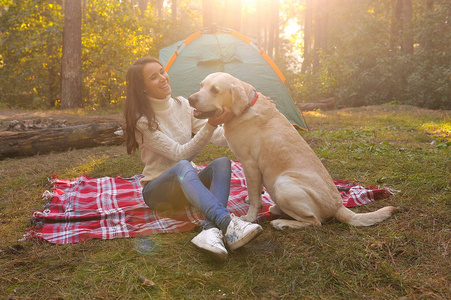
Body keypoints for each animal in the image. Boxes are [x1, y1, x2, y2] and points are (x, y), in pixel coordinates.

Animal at [189, 73, 398, 230]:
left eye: (215, 90)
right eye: (201, 85)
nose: (191, 98)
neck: (245, 108)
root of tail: (339, 205)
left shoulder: (249, 164)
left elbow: (255, 197)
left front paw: (249, 217)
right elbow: (254, 190)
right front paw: (250, 198)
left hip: (283, 184)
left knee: (315, 221)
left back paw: (281, 222)